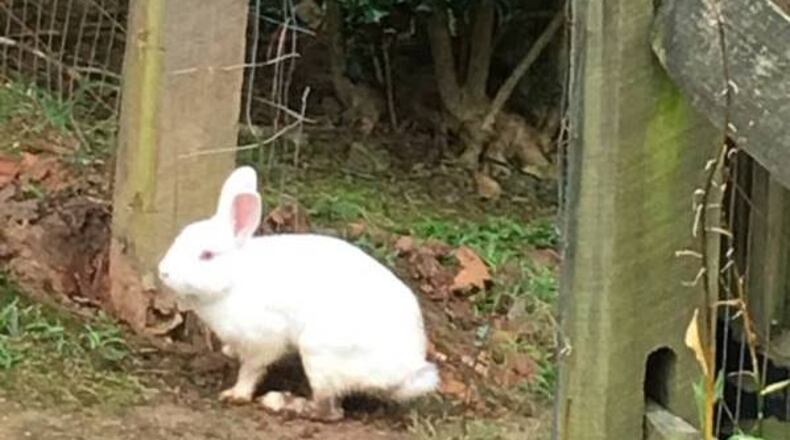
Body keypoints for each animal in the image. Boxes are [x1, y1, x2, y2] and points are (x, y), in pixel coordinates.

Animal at [157, 166, 439, 421]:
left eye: (207, 255)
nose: (164, 271)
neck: (233, 279)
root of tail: (406, 373)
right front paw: (229, 352)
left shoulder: (263, 339)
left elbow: (251, 369)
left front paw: (236, 394)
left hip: (320, 354)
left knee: (329, 411)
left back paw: (278, 402)